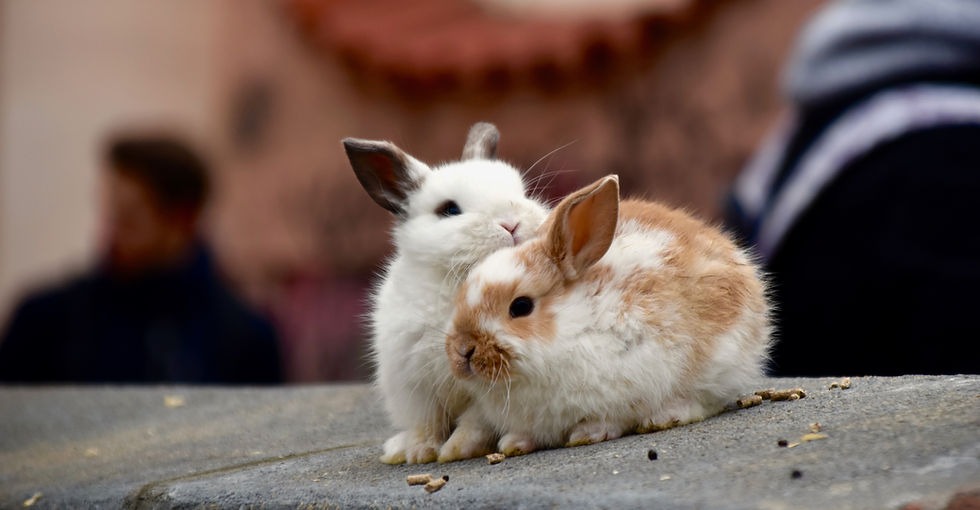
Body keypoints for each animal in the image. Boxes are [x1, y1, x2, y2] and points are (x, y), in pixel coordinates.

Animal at [342, 122, 549, 464]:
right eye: (449, 210)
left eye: (522, 193)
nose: (512, 224)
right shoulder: (415, 386)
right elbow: (427, 423)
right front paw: (419, 453)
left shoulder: (483, 390)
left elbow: (475, 422)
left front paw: (457, 450)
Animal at [438, 175, 771, 461]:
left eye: (520, 307)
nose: (462, 351)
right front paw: (514, 443)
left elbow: (609, 417)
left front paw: (587, 434)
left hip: (720, 361)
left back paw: (665, 416)